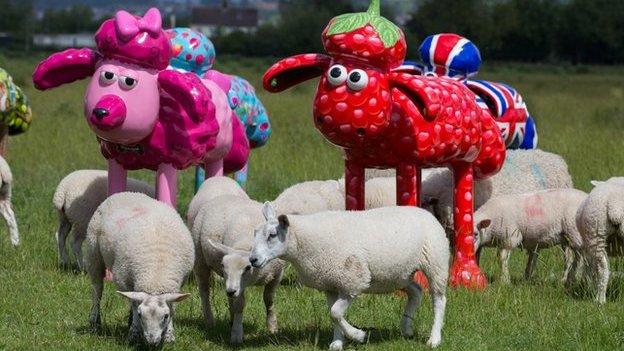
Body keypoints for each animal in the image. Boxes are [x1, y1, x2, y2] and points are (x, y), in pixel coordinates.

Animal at [84, 194, 193, 348]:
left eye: (165, 316)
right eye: (142, 315)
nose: (152, 342)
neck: (155, 274)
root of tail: (125, 193)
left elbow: (172, 307)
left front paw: (169, 336)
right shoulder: (124, 280)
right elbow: (135, 306)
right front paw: (134, 334)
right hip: (93, 252)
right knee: (97, 290)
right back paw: (94, 322)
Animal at [191, 195, 286, 346]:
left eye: (248, 267)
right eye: (222, 265)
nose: (230, 291)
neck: (246, 245)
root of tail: (222, 196)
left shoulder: (277, 274)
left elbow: (269, 299)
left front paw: (272, 328)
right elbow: (239, 305)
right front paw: (236, 334)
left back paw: (230, 318)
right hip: (200, 259)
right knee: (204, 290)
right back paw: (210, 321)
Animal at [249, 202, 448, 350]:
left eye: (272, 235)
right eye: (255, 233)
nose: (252, 259)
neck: (302, 245)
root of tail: (424, 211)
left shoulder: (352, 281)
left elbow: (336, 312)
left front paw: (358, 335)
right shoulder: (330, 283)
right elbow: (333, 314)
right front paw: (337, 343)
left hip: (436, 262)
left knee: (438, 300)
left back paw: (434, 339)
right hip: (398, 274)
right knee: (416, 291)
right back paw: (406, 328)